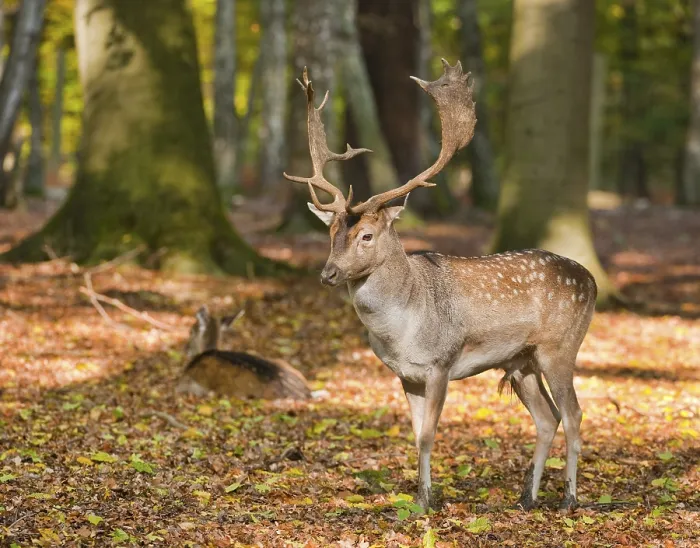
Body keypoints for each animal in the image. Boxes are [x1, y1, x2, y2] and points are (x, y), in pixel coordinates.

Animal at [283, 60, 597, 512]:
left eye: (367, 236)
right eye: (331, 234)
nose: (328, 274)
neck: (401, 330)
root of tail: (591, 280)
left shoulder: (441, 363)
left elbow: (431, 434)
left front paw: (427, 501)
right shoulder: (405, 375)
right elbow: (416, 436)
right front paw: (420, 496)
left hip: (560, 347)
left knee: (573, 414)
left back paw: (569, 499)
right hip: (520, 361)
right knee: (547, 417)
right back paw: (526, 497)